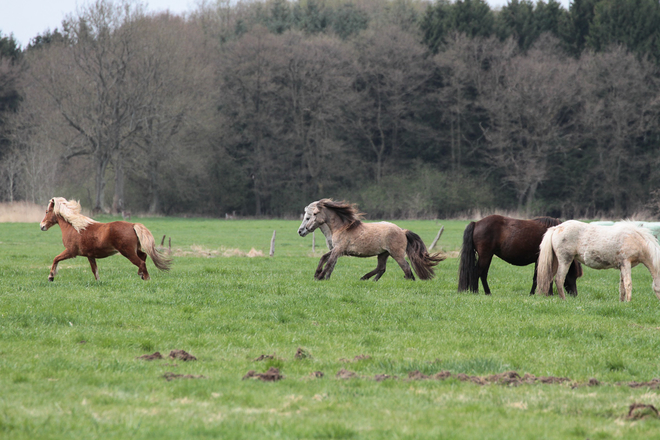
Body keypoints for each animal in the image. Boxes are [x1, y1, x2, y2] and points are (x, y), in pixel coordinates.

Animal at [39, 197, 171, 280]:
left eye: (47, 211)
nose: (42, 226)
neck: (74, 227)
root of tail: (133, 225)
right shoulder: (90, 256)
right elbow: (95, 271)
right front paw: (99, 282)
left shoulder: (71, 252)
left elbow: (56, 259)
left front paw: (51, 276)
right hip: (135, 250)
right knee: (143, 256)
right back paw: (141, 274)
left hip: (128, 252)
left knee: (141, 262)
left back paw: (147, 278)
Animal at [298, 199, 444, 280]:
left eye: (313, 214)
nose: (303, 230)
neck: (342, 227)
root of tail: (402, 231)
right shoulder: (338, 249)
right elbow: (324, 258)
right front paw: (317, 274)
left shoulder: (338, 249)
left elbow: (329, 263)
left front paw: (320, 277)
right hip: (383, 254)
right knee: (381, 268)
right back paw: (366, 278)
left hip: (396, 254)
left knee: (406, 267)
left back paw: (408, 281)